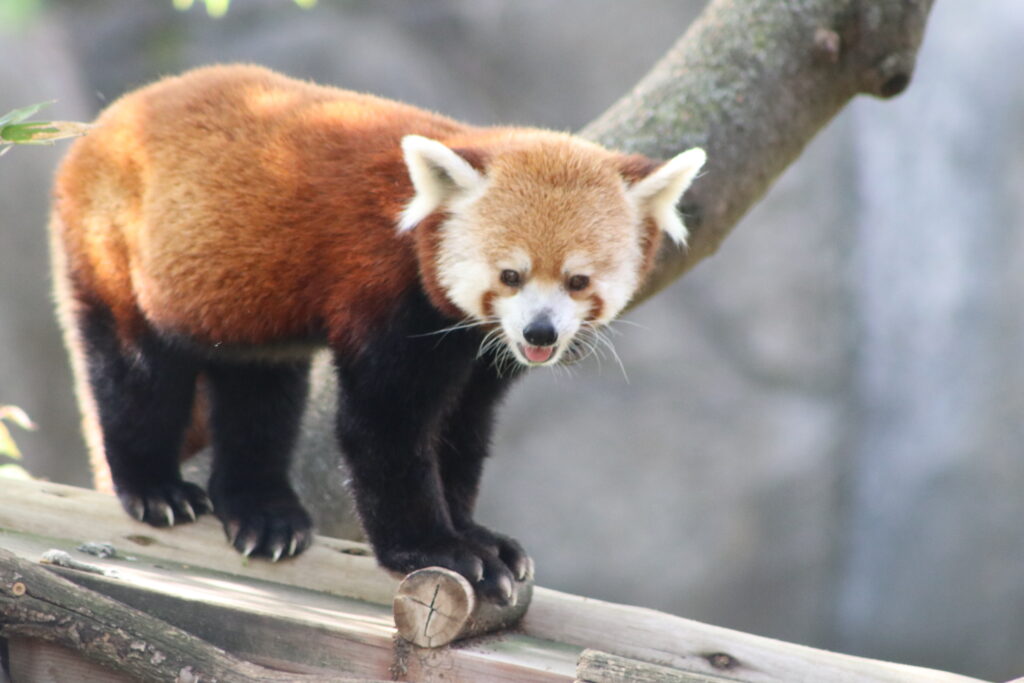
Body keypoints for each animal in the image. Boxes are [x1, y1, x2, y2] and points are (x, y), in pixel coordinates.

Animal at [48, 62, 704, 598]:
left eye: (577, 281)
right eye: (510, 275)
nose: (540, 334)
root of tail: (108, 120)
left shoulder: (478, 347)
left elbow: (461, 432)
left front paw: (477, 534)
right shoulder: (386, 290)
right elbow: (384, 427)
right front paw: (440, 551)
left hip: (243, 310)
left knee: (257, 393)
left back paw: (263, 512)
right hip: (111, 244)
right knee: (135, 373)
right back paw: (155, 488)